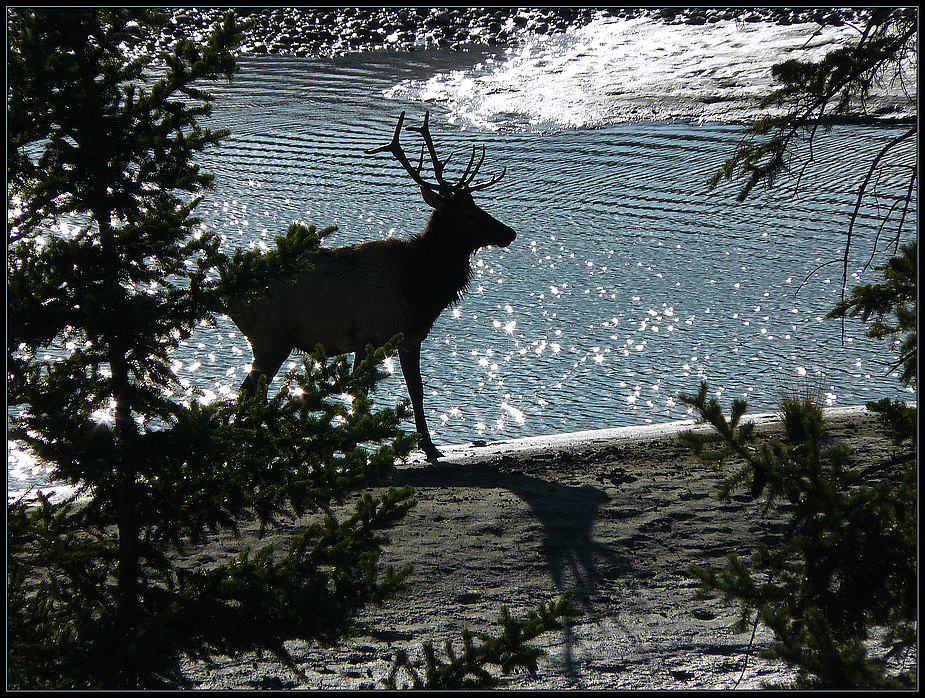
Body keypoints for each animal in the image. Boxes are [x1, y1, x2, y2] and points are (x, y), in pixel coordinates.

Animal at [228, 111, 516, 460]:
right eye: (468, 214)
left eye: (478, 205)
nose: (509, 232)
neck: (420, 286)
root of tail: (227, 294)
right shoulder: (369, 335)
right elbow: (359, 391)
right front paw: (356, 441)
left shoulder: (409, 337)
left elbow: (416, 390)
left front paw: (429, 446)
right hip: (271, 338)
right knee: (248, 394)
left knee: (252, 394)